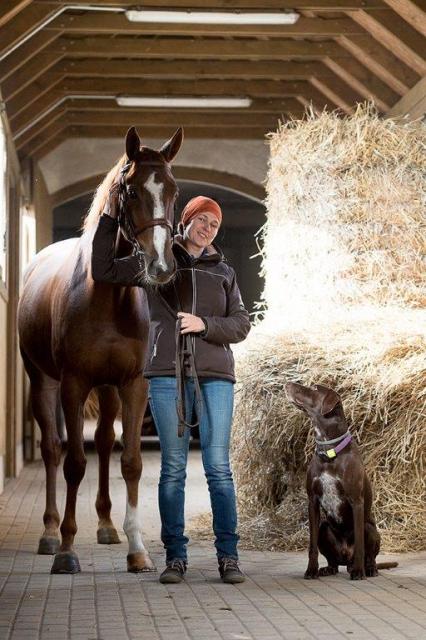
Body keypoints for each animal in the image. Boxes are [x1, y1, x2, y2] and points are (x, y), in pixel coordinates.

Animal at [18, 126, 182, 576]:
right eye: (132, 190)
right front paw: (66, 549)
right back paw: (49, 533)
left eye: (173, 190)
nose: (162, 267)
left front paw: (137, 549)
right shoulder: (73, 384)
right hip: (43, 381)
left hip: (108, 390)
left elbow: (131, 462)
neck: (106, 295)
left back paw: (107, 526)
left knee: (107, 443)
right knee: (52, 450)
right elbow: (75, 462)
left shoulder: (133, 385)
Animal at [284, 382, 398, 584]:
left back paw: (368, 569)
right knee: (333, 561)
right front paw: (311, 570)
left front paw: (359, 572)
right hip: (324, 528)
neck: (329, 452)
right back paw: (328, 569)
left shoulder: (356, 501)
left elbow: (360, 545)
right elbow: (312, 546)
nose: (288, 383)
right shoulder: (312, 500)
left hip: (370, 529)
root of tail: (347, 559)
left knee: (370, 555)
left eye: (314, 388)